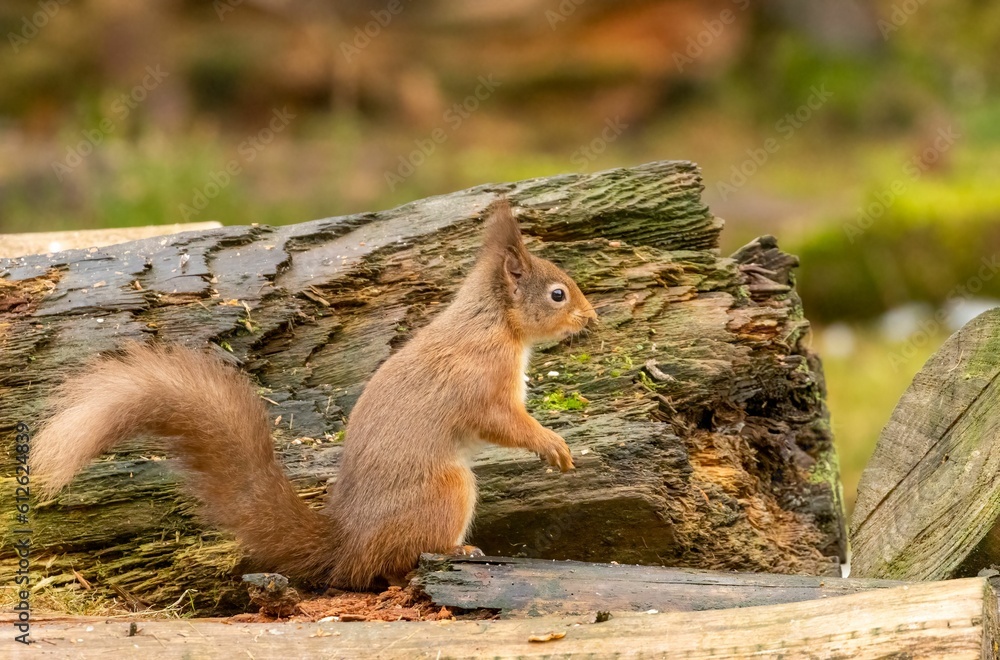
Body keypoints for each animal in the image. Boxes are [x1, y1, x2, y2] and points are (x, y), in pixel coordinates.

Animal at [31, 198, 597, 590]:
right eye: (557, 294)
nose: (591, 318)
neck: (495, 324)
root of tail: (347, 546)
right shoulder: (483, 382)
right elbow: (504, 422)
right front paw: (553, 445)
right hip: (447, 489)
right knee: (401, 560)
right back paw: (455, 552)